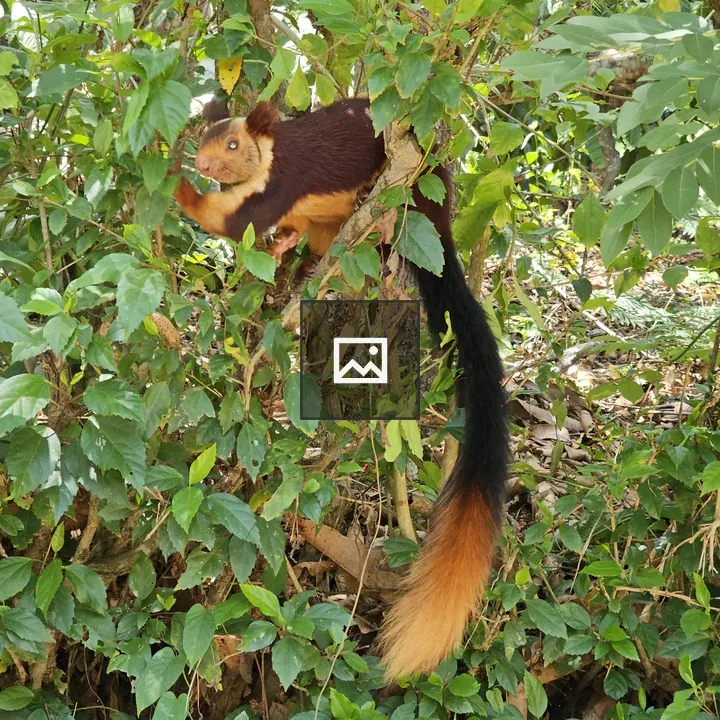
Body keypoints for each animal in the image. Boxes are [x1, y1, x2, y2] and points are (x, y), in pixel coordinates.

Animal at [173, 97, 508, 680]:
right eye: (206, 136)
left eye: (233, 144)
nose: (204, 165)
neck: (268, 154)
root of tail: (441, 214)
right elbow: (260, 227)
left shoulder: (282, 183)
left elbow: (232, 222)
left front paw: (175, 182)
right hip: (333, 226)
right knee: (323, 238)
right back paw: (301, 259)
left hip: (407, 202)